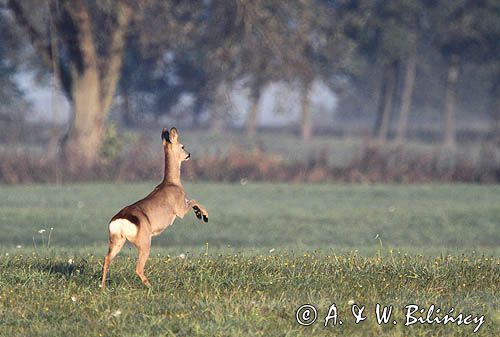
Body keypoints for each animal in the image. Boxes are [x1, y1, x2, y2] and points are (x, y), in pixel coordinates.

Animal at [100, 127, 208, 288]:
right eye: (182, 146)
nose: (189, 154)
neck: (172, 183)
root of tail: (120, 221)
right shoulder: (180, 210)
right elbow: (194, 200)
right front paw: (204, 215)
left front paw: (199, 214)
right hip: (144, 243)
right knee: (138, 268)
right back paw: (152, 287)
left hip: (117, 241)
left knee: (106, 259)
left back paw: (103, 288)